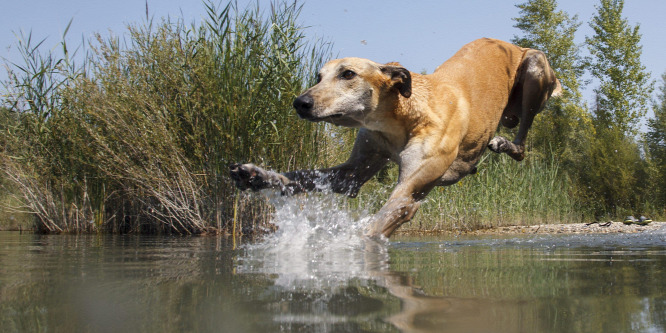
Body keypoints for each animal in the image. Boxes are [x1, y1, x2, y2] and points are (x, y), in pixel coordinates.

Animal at [231, 38, 556, 236]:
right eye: (318, 77)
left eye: (348, 74)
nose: (300, 103)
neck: (405, 114)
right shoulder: (355, 168)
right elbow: (303, 176)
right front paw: (256, 175)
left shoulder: (408, 193)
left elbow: (377, 224)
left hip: (535, 68)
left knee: (522, 145)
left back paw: (506, 143)